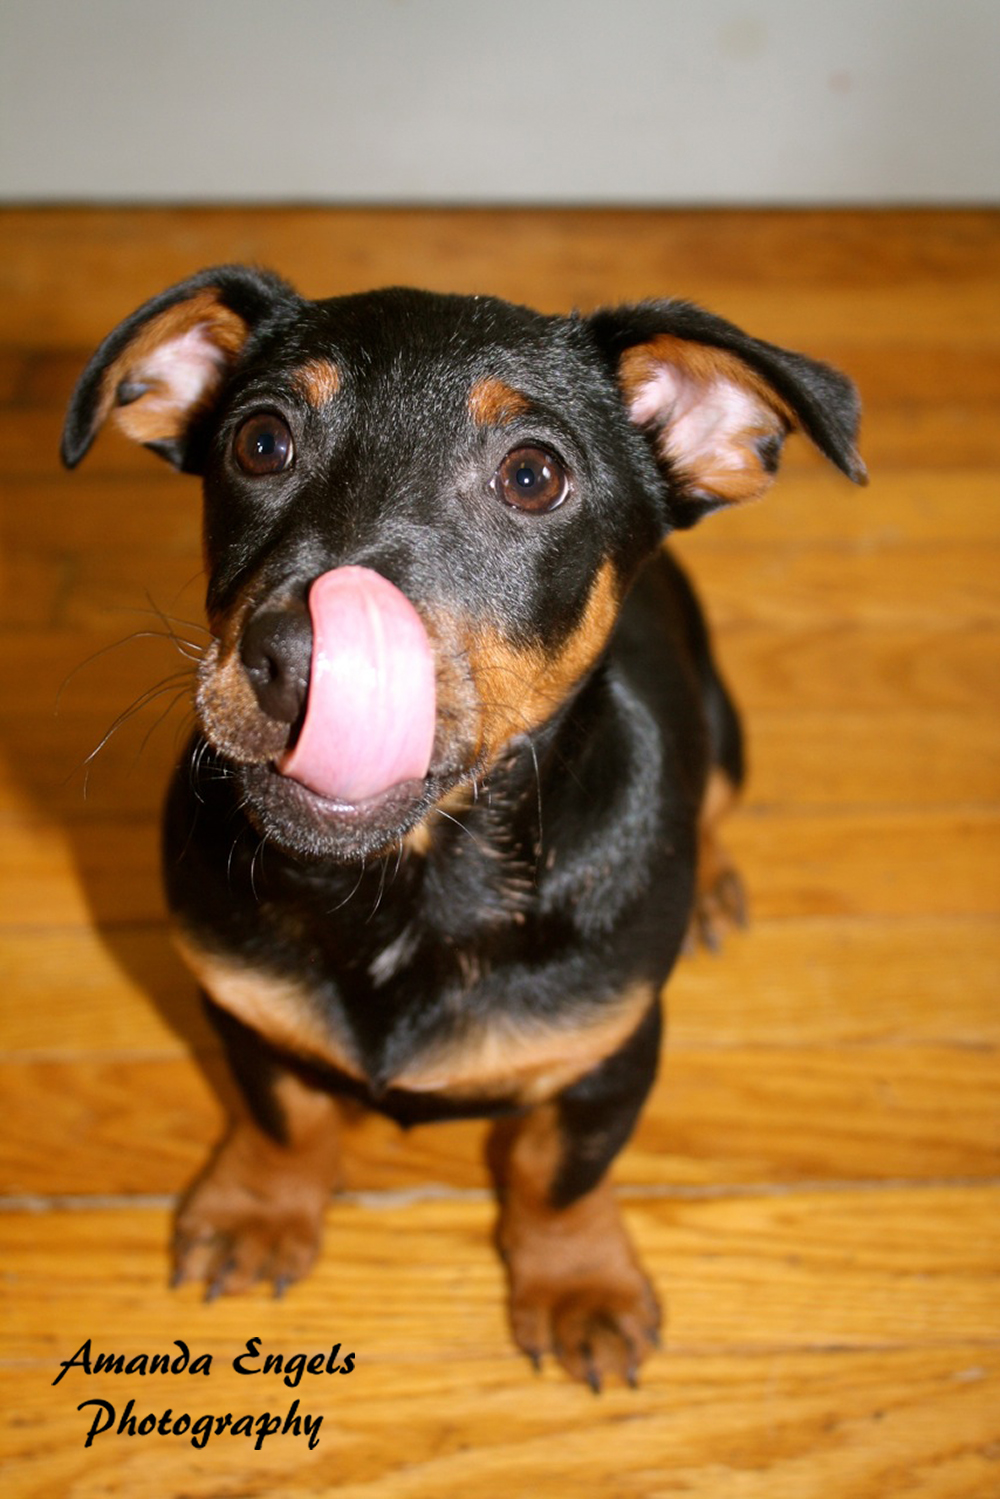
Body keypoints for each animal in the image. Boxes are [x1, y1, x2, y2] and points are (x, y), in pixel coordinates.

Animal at [62, 263, 863, 1385]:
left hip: (726, 727)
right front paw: (259, 1211)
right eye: (259, 441)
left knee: (716, 804)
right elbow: (287, 1118)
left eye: (532, 475)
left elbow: (557, 1176)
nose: (299, 662)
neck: (412, 877)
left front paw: (579, 1286)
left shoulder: (608, 1056)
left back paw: (711, 884)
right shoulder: (242, 1005)